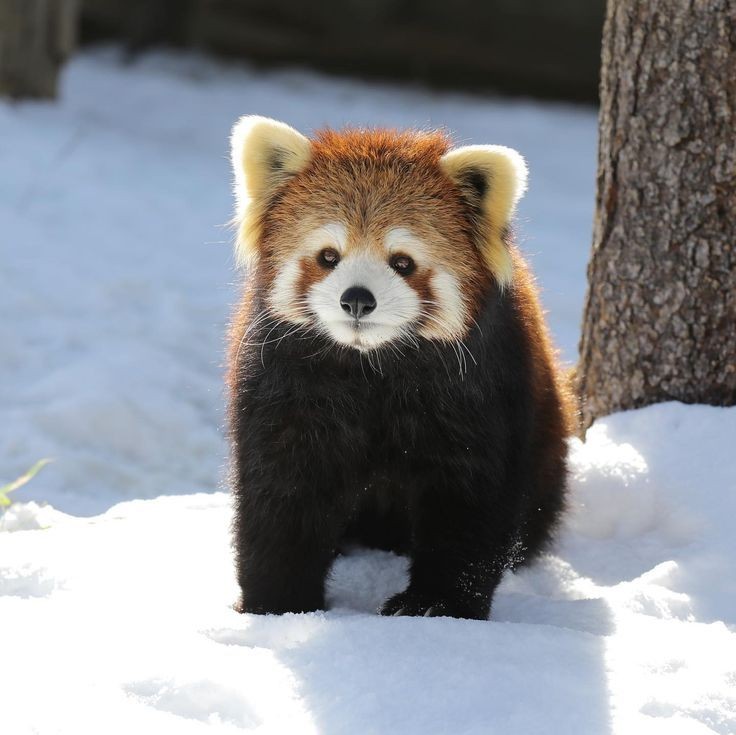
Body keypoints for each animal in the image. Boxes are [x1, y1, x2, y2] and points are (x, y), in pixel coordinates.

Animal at [226, 117, 575, 620]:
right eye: (328, 256)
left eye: (402, 262)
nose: (356, 299)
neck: (374, 362)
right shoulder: (281, 379)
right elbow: (281, 490)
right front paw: (277, 604)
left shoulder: (480, 386)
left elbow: (469, 498)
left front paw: (436, 606)